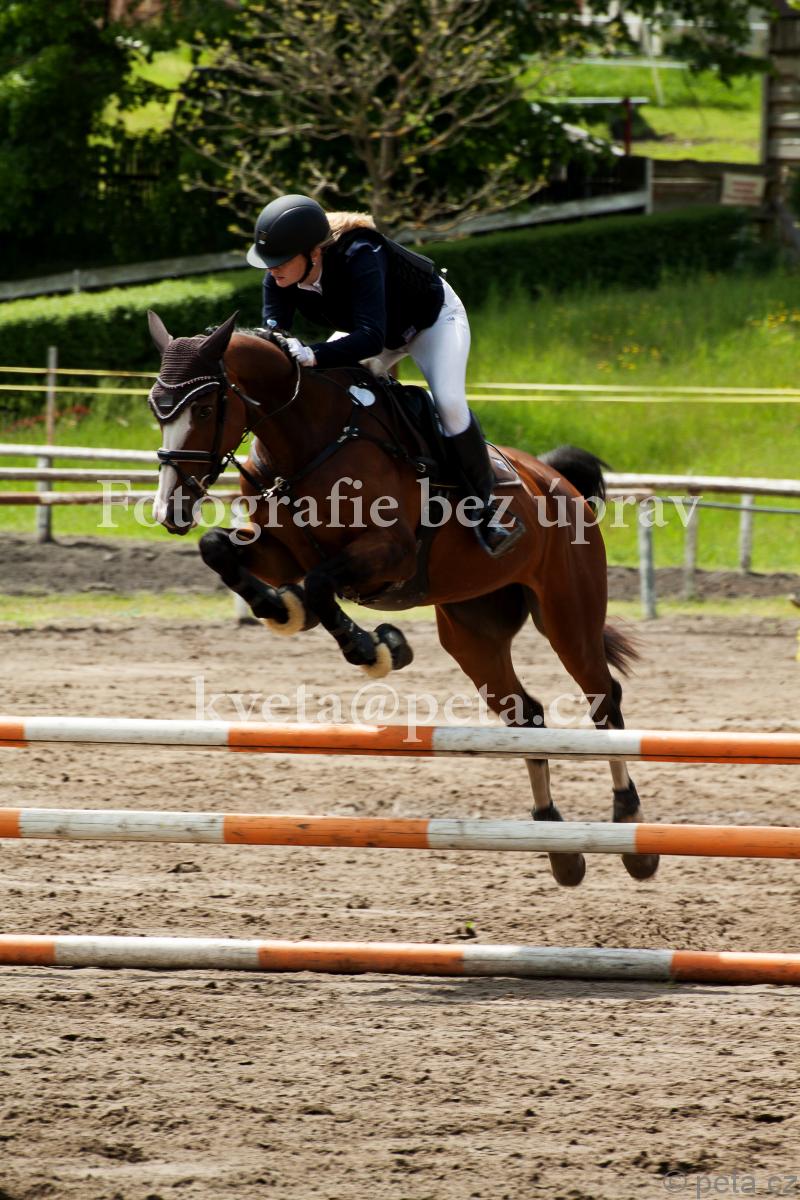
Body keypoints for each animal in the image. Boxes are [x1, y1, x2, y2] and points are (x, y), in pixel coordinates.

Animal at [147, 310, 659, 888]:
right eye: (156, 407)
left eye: (205, 408)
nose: (171, 509)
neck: (306, 440)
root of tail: (556, 480)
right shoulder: (280, 552)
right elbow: (219, 550)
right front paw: (284, 610)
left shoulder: (388, 553)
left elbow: (322, 583)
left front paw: (374, 647)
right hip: (472, 630)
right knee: (525, 717)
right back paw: (558, 844)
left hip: (568, 615)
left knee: (603, 701)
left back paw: (631, 829)